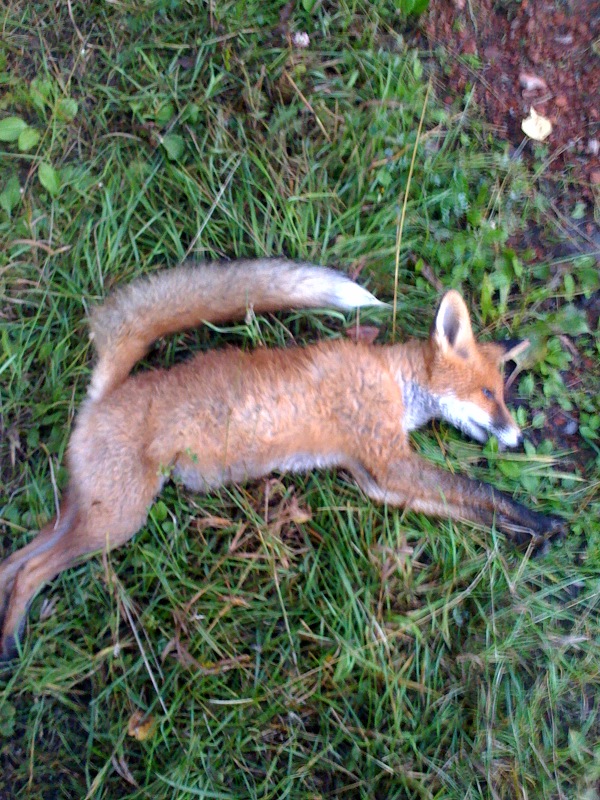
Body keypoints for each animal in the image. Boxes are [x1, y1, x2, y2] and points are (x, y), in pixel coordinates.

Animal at [0, 258, 564, 659]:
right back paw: (9, 643)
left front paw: (527, 533)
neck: (391, 380)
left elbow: (468, 507)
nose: (516, 438)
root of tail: (105, 392)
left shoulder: (377, 478)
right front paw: (538, 519)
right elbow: (481, 491)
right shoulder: (389, 463)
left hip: (87, 512)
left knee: (14, 562)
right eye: (489, 394)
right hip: (115, 521)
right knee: (31, 570)